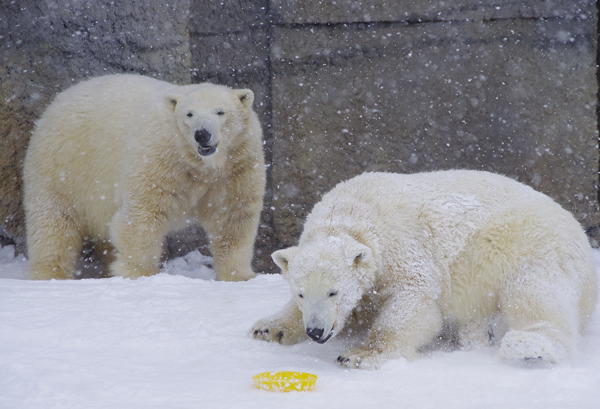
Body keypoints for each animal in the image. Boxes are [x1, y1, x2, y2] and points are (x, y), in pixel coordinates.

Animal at [24, 74, 264, 280]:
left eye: (220, 112)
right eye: (189, 114)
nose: (202, 134)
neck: (200, 165)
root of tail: (54, 104)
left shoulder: (236, 169)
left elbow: (233, 217)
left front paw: (240, 276)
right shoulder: (162, 158)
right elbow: (143, 213)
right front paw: (138, 274)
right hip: (62, 166)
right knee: (53, 222)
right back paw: (51, 274)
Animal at [251, 169, 596, 366]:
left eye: (334, 292)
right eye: (300, 294)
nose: (316, 331)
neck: (352, 214)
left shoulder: (403, 248)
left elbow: (413, 303)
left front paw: (360, 355)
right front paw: (269, 328)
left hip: (532, 246)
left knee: (535, 295)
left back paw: (528, 345)